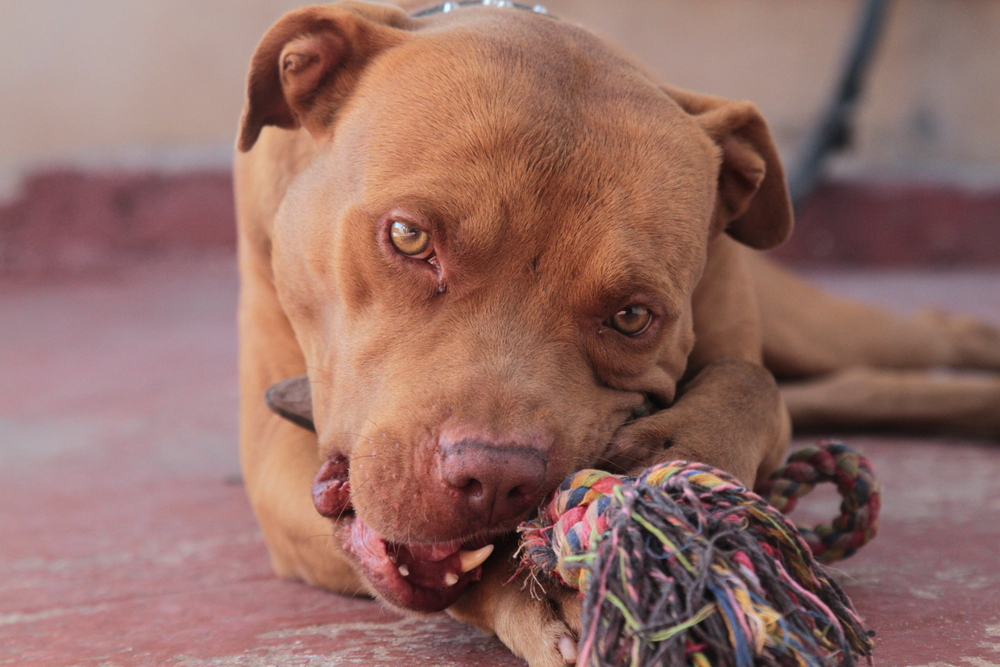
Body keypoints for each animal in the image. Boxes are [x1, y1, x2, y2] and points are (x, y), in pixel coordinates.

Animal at [236, 2, 1000, 664]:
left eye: (633, 316)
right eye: (408, 236)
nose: (495, 478)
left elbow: (753, 383)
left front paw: (679, 458)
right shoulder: (279, 469)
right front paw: (537, 588)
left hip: (827, 330)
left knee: (921, 339)